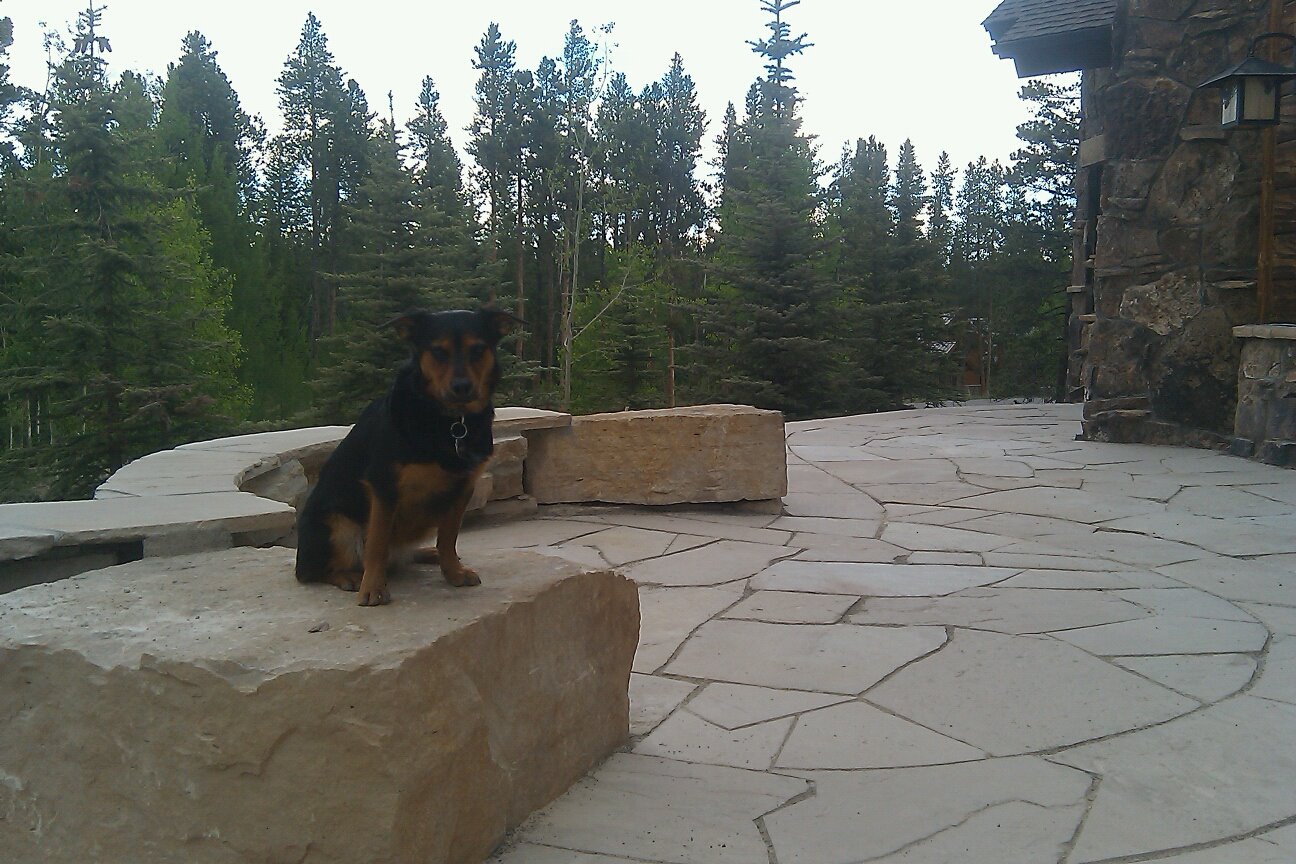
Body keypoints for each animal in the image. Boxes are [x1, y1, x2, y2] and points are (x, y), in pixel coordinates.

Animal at [296, 306, 513, 606]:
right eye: (438, 351)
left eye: (478, 349)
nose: (462, 386)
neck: (450, 421)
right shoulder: (384, 486)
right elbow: (377, 543)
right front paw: (373, 588)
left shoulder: (463, 488)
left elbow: (448, 537)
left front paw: (453, 571)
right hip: (337, 525)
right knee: (318, 570)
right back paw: (349, 576)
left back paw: (427, 554)